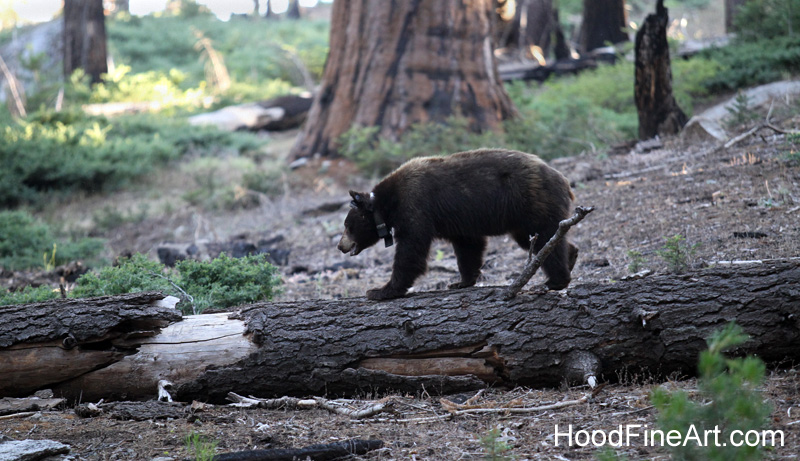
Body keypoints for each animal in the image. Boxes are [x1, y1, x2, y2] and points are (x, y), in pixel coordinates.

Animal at [337, 148, 578, 301]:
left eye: (347, 225)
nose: (340, 245)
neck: (388, 204)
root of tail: (565, 181)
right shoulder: (459, 221)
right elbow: (468, 247)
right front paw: (461, 281)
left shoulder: (417, 206)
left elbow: (411, 250)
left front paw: (380, 290)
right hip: (523, 218)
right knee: (541, 239)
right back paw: (572, 255)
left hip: (533, 202)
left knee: (545, 238)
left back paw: (554, 280)